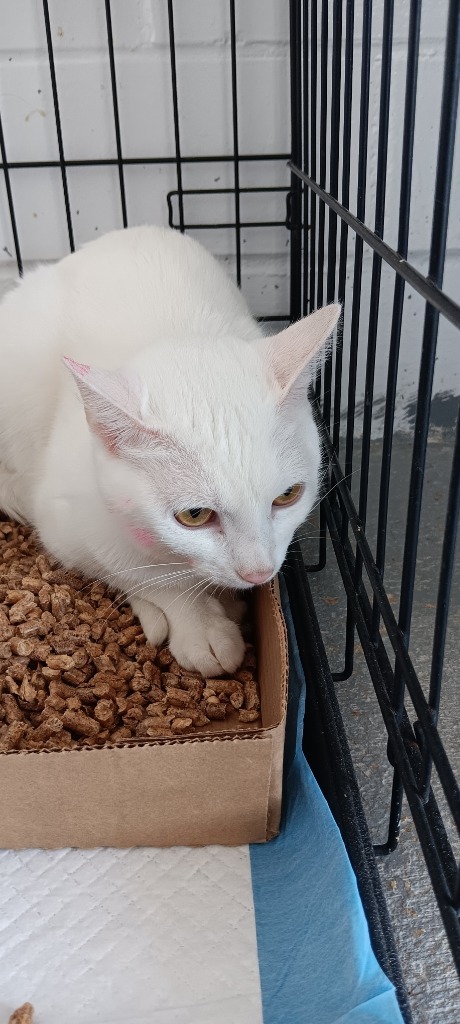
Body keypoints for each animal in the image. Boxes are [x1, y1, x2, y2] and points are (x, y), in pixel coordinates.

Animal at [0, 227, 336, 675]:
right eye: (194, 516)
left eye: (288, 496)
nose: (259, 573)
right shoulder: (63, 521)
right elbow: (134, 569)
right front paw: (198, 622)